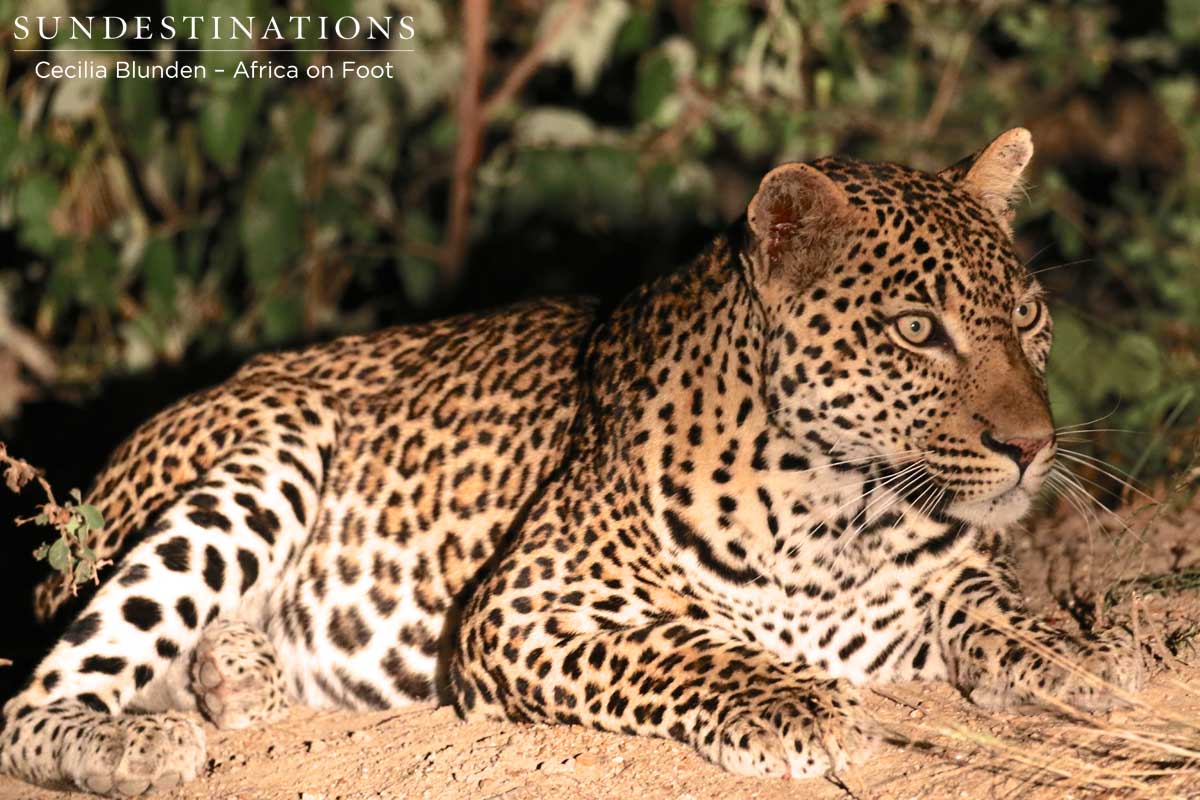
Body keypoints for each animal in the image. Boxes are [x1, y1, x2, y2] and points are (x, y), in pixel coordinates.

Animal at [0, 128, 1142, 796]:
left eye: (1026, 317)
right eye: (916, 330)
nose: (1033, 450)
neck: (842, 509)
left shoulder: (933, 583)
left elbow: (997, 603)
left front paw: (1079, 655)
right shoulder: (519, 609)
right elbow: (681, 648)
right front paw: (793, 704)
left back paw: (239, 677)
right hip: (267, 456)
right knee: (32, 699)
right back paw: (136, 744)